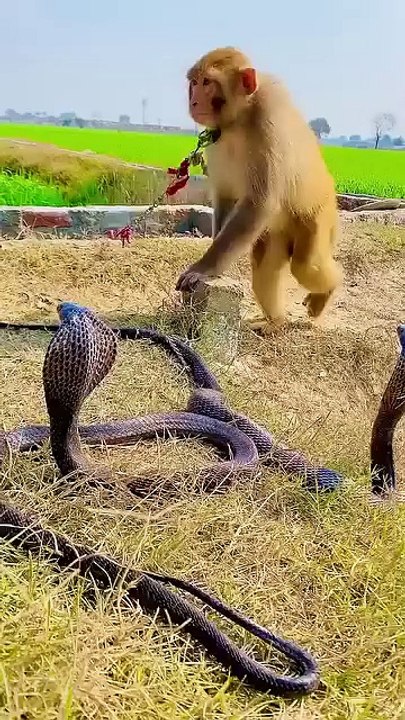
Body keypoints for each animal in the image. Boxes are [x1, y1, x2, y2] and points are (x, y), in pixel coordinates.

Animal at [176, 47, 343, 331]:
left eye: (207, 82)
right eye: (194, 82)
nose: (194, 101)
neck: (239, 118)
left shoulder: (268, 121)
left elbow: (260, 202)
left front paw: (204, 267)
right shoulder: (215, 137)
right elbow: (226, 196)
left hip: (319, 216)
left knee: (305, 266)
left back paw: (328, 290)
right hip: (276, 232)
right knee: (265, 270)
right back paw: (275, 322)